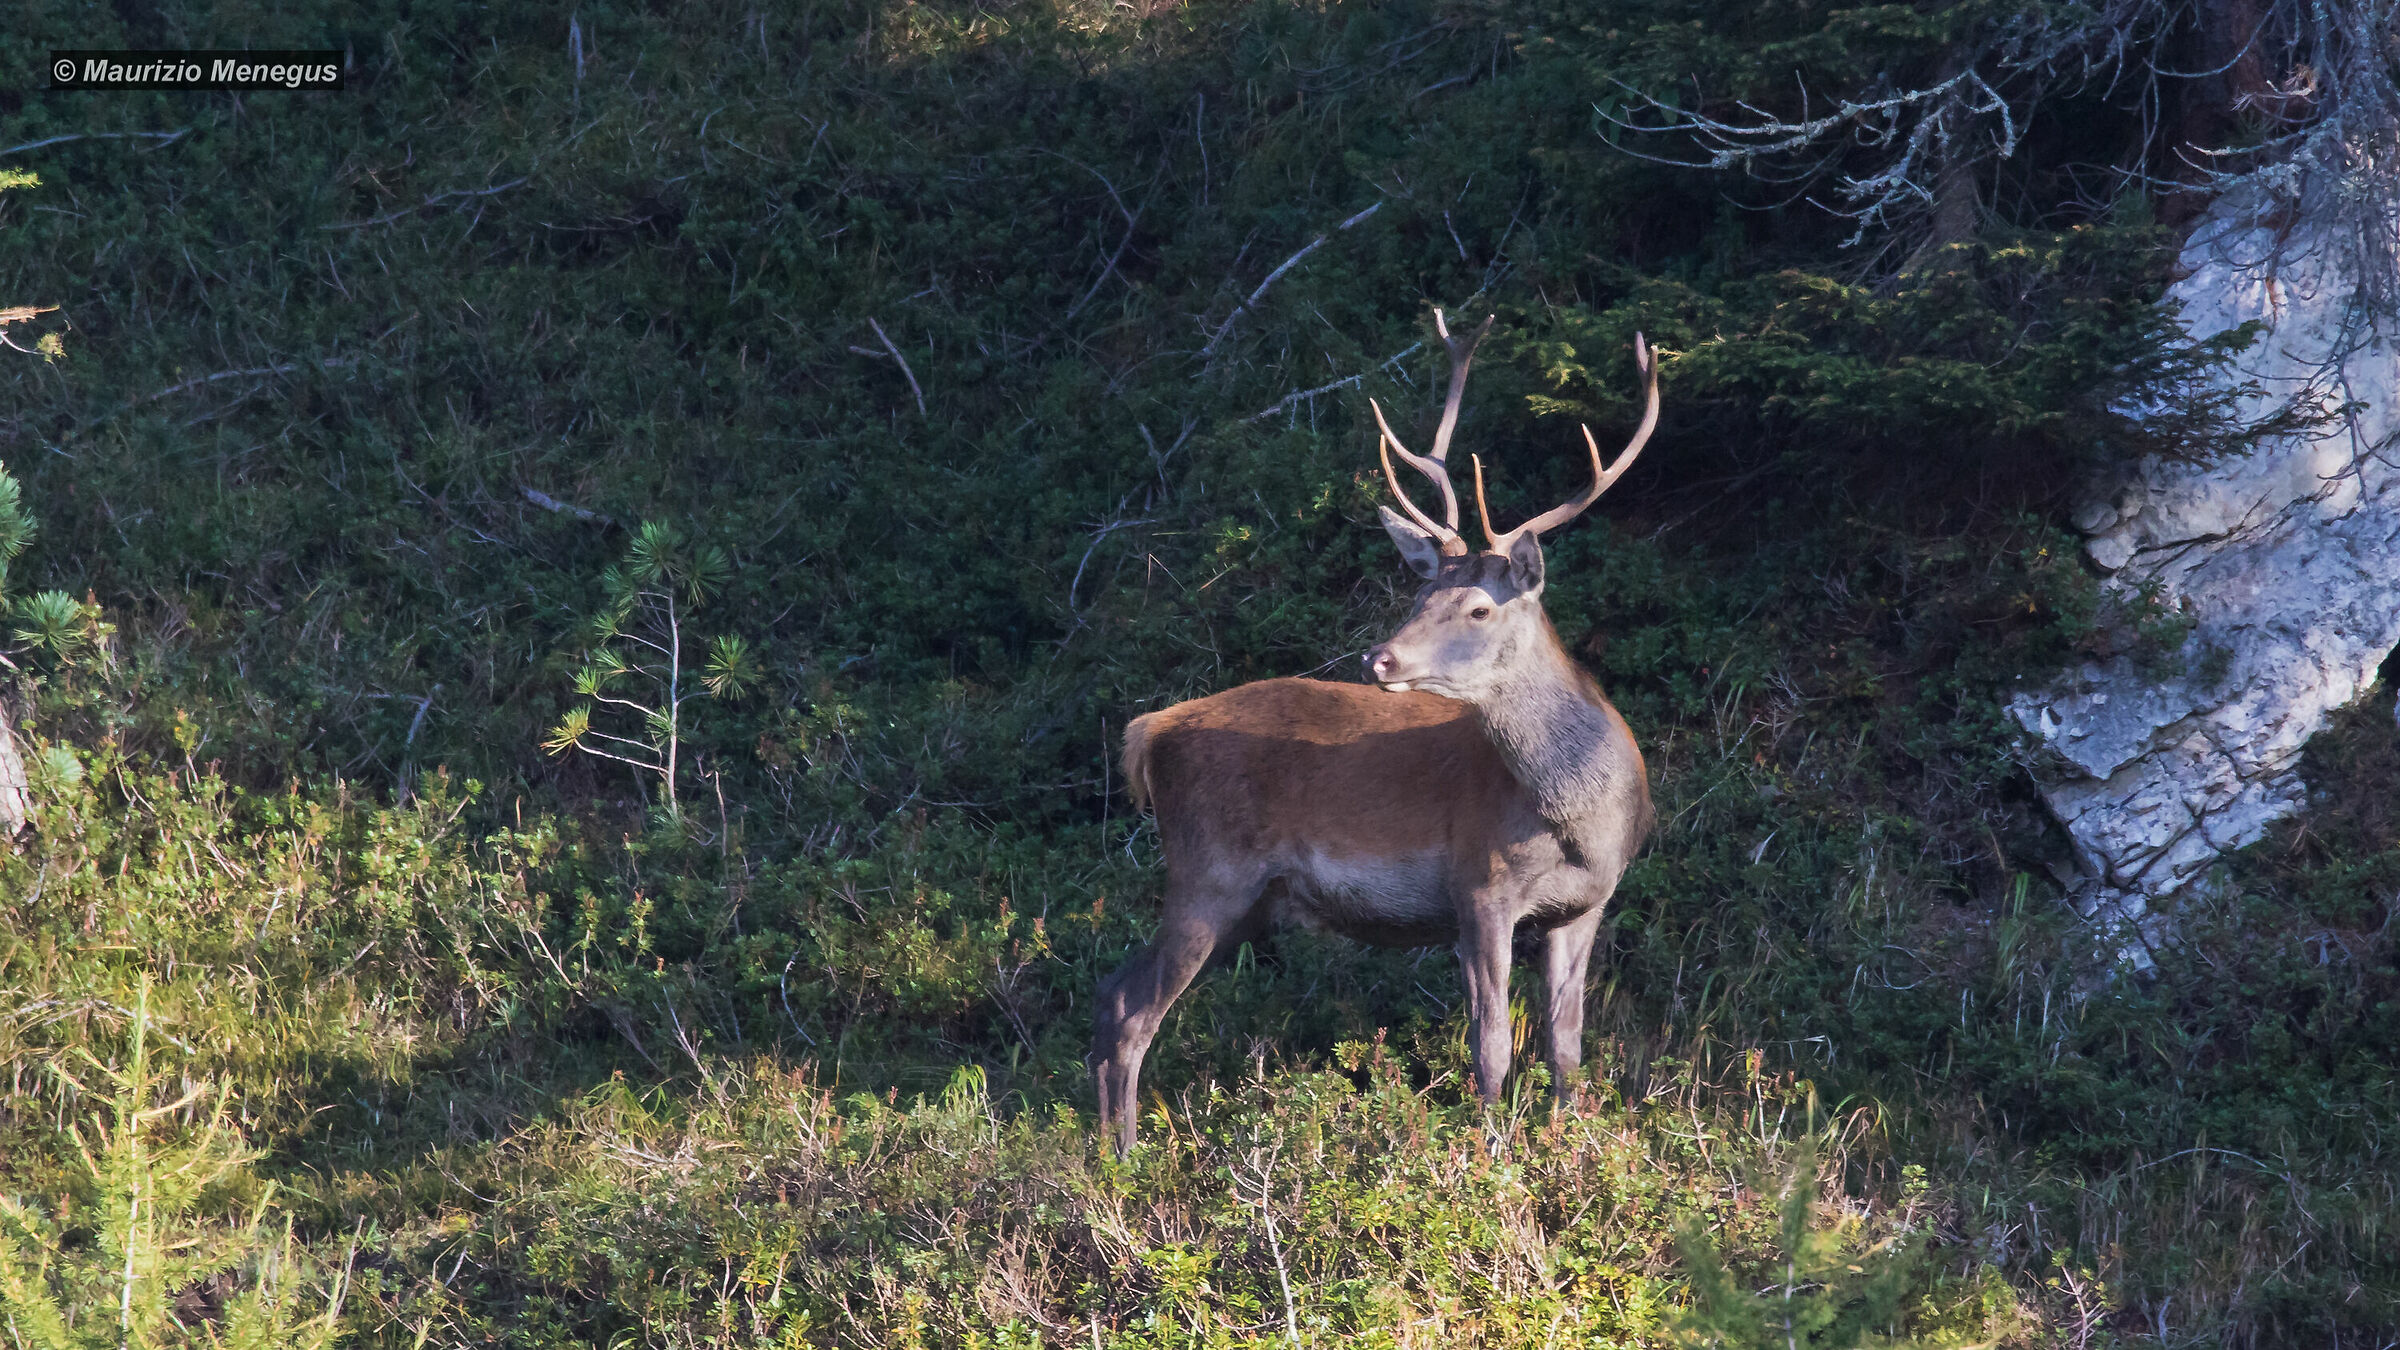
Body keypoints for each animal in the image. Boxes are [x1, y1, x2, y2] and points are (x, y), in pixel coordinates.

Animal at [1092, 311, 1661, 1153]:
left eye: (1478, 608)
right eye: (1423, 593)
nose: (1379, 656)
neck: (1580, 819)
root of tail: (1149, 732)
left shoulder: (1584, 905)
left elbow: (1566, 1048)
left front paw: (1568, 1147)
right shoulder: (1478, 885)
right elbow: (1492, 1044)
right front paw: (1492, 1157)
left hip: (1244, 898)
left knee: (1112, 994)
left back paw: (1103, 1154)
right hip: (1208, 869)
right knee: (1133, 1012)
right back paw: (1126, 1163)